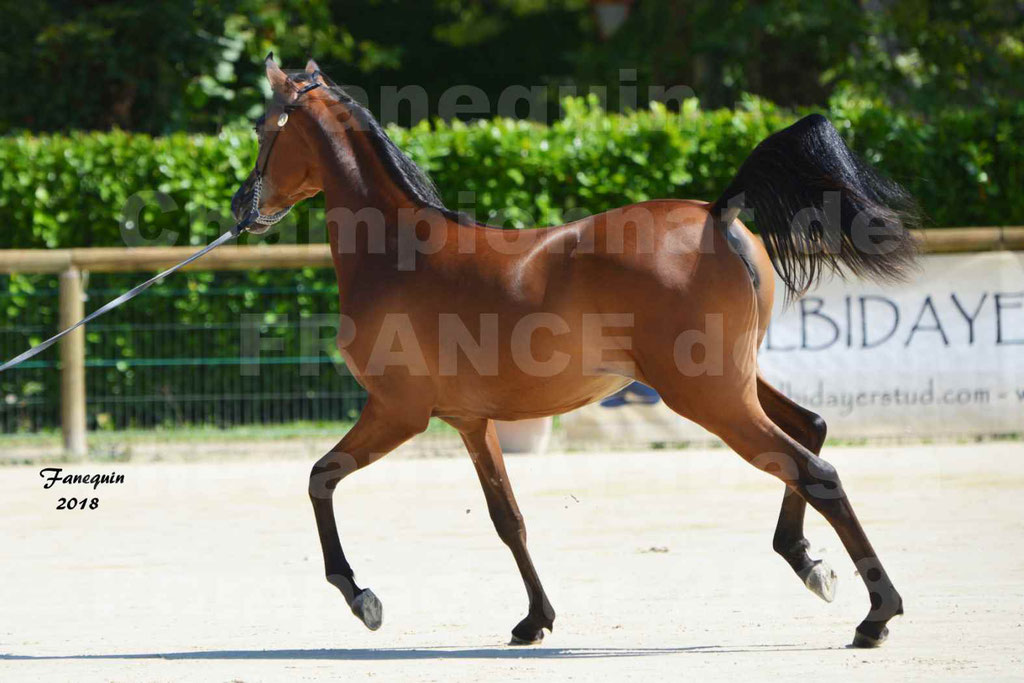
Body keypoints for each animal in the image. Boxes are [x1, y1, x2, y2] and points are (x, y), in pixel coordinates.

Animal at [234, 56, 921, 651]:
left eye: (265, 128)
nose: (244, 208)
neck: (401, 252)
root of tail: (716, 212)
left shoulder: (397, 412)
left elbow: (320, 477)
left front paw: (362, 598)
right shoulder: (470, 421)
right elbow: (506, 518)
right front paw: (534, 620)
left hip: (709, 396)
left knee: (814, 470)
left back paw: (876, 615)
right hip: (734, 383)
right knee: (812, 430)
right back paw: (809, 564)